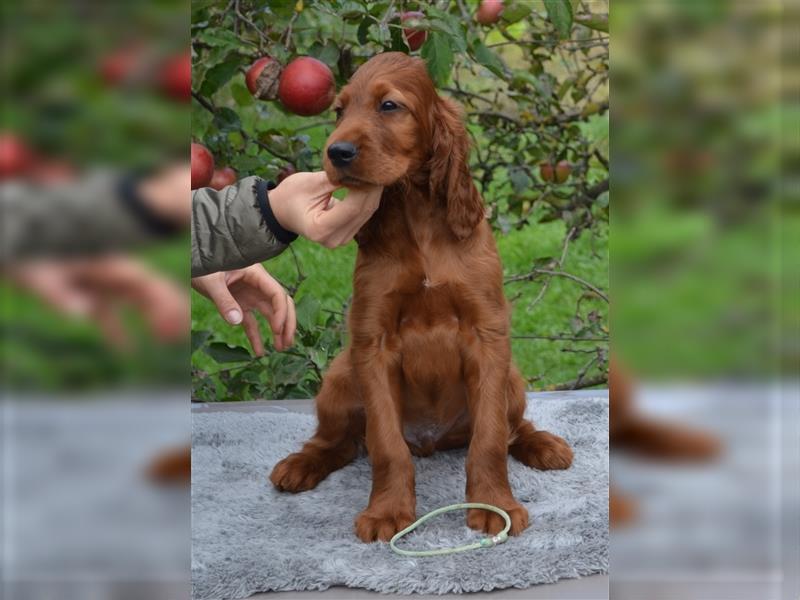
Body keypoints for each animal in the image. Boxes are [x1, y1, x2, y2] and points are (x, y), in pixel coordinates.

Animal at [272, 52, 572, 544]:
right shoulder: (372, 342)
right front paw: (388, 512)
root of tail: (432, 441)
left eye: (389, 105)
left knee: (513, 428)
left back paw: (544, 444)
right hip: (339, 377)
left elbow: (490, 438)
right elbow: (385, 445)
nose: (336, 153)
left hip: (512, 378)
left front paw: (495, 504)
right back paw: (300, 465)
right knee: (339, 443)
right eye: (339, 111)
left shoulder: (487, 335)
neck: (416, 214)